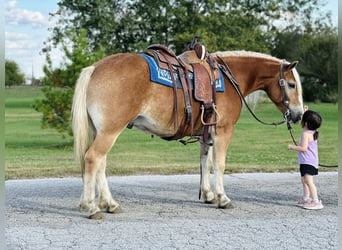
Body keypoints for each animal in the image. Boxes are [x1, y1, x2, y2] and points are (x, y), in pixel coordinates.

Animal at [71, 48, 304, 219]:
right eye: (291, 84)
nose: (299, 114)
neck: (230, 79)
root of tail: (95, 68)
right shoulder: (223, 131)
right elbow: (219, 165)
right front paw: (223, 198)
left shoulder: (206, 134)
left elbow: (205, 163)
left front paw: (208, 195)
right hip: (110, 131)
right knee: (93, 159)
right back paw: (91, 206)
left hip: (102, 131)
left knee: (100, 164)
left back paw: (109, 203)